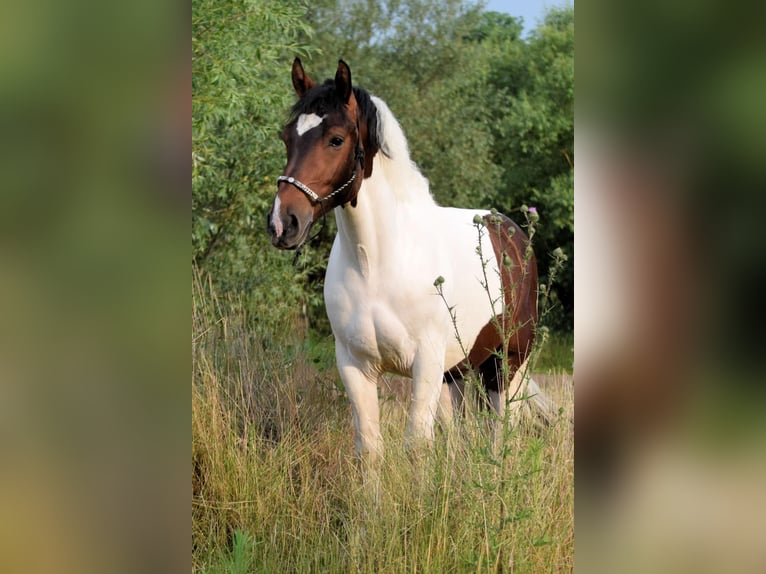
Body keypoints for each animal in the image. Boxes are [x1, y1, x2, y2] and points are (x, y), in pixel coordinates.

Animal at [270, 58, 540, 464]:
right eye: (287, 137)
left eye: (336, 139)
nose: (283, 223)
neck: (376, 263)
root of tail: (513, 233)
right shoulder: (356, 367)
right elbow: (371, 447)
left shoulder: (424, 364)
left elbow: (417, 445)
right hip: (455, 372)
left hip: (507, 363)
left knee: (500, 432)